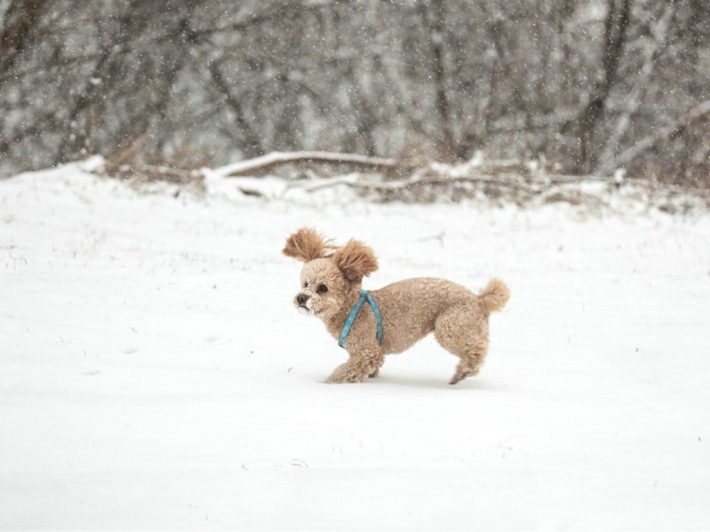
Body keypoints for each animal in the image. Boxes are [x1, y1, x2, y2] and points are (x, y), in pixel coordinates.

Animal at [284, 227, 512, 384]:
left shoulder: (367, 351)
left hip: (451, 325)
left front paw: (328, 383)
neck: (351, 309)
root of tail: (479, 300)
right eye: (305, 284)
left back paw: (463, 371)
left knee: (475, 349)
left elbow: (346, 371)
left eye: (322, 288)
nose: (301, 298)